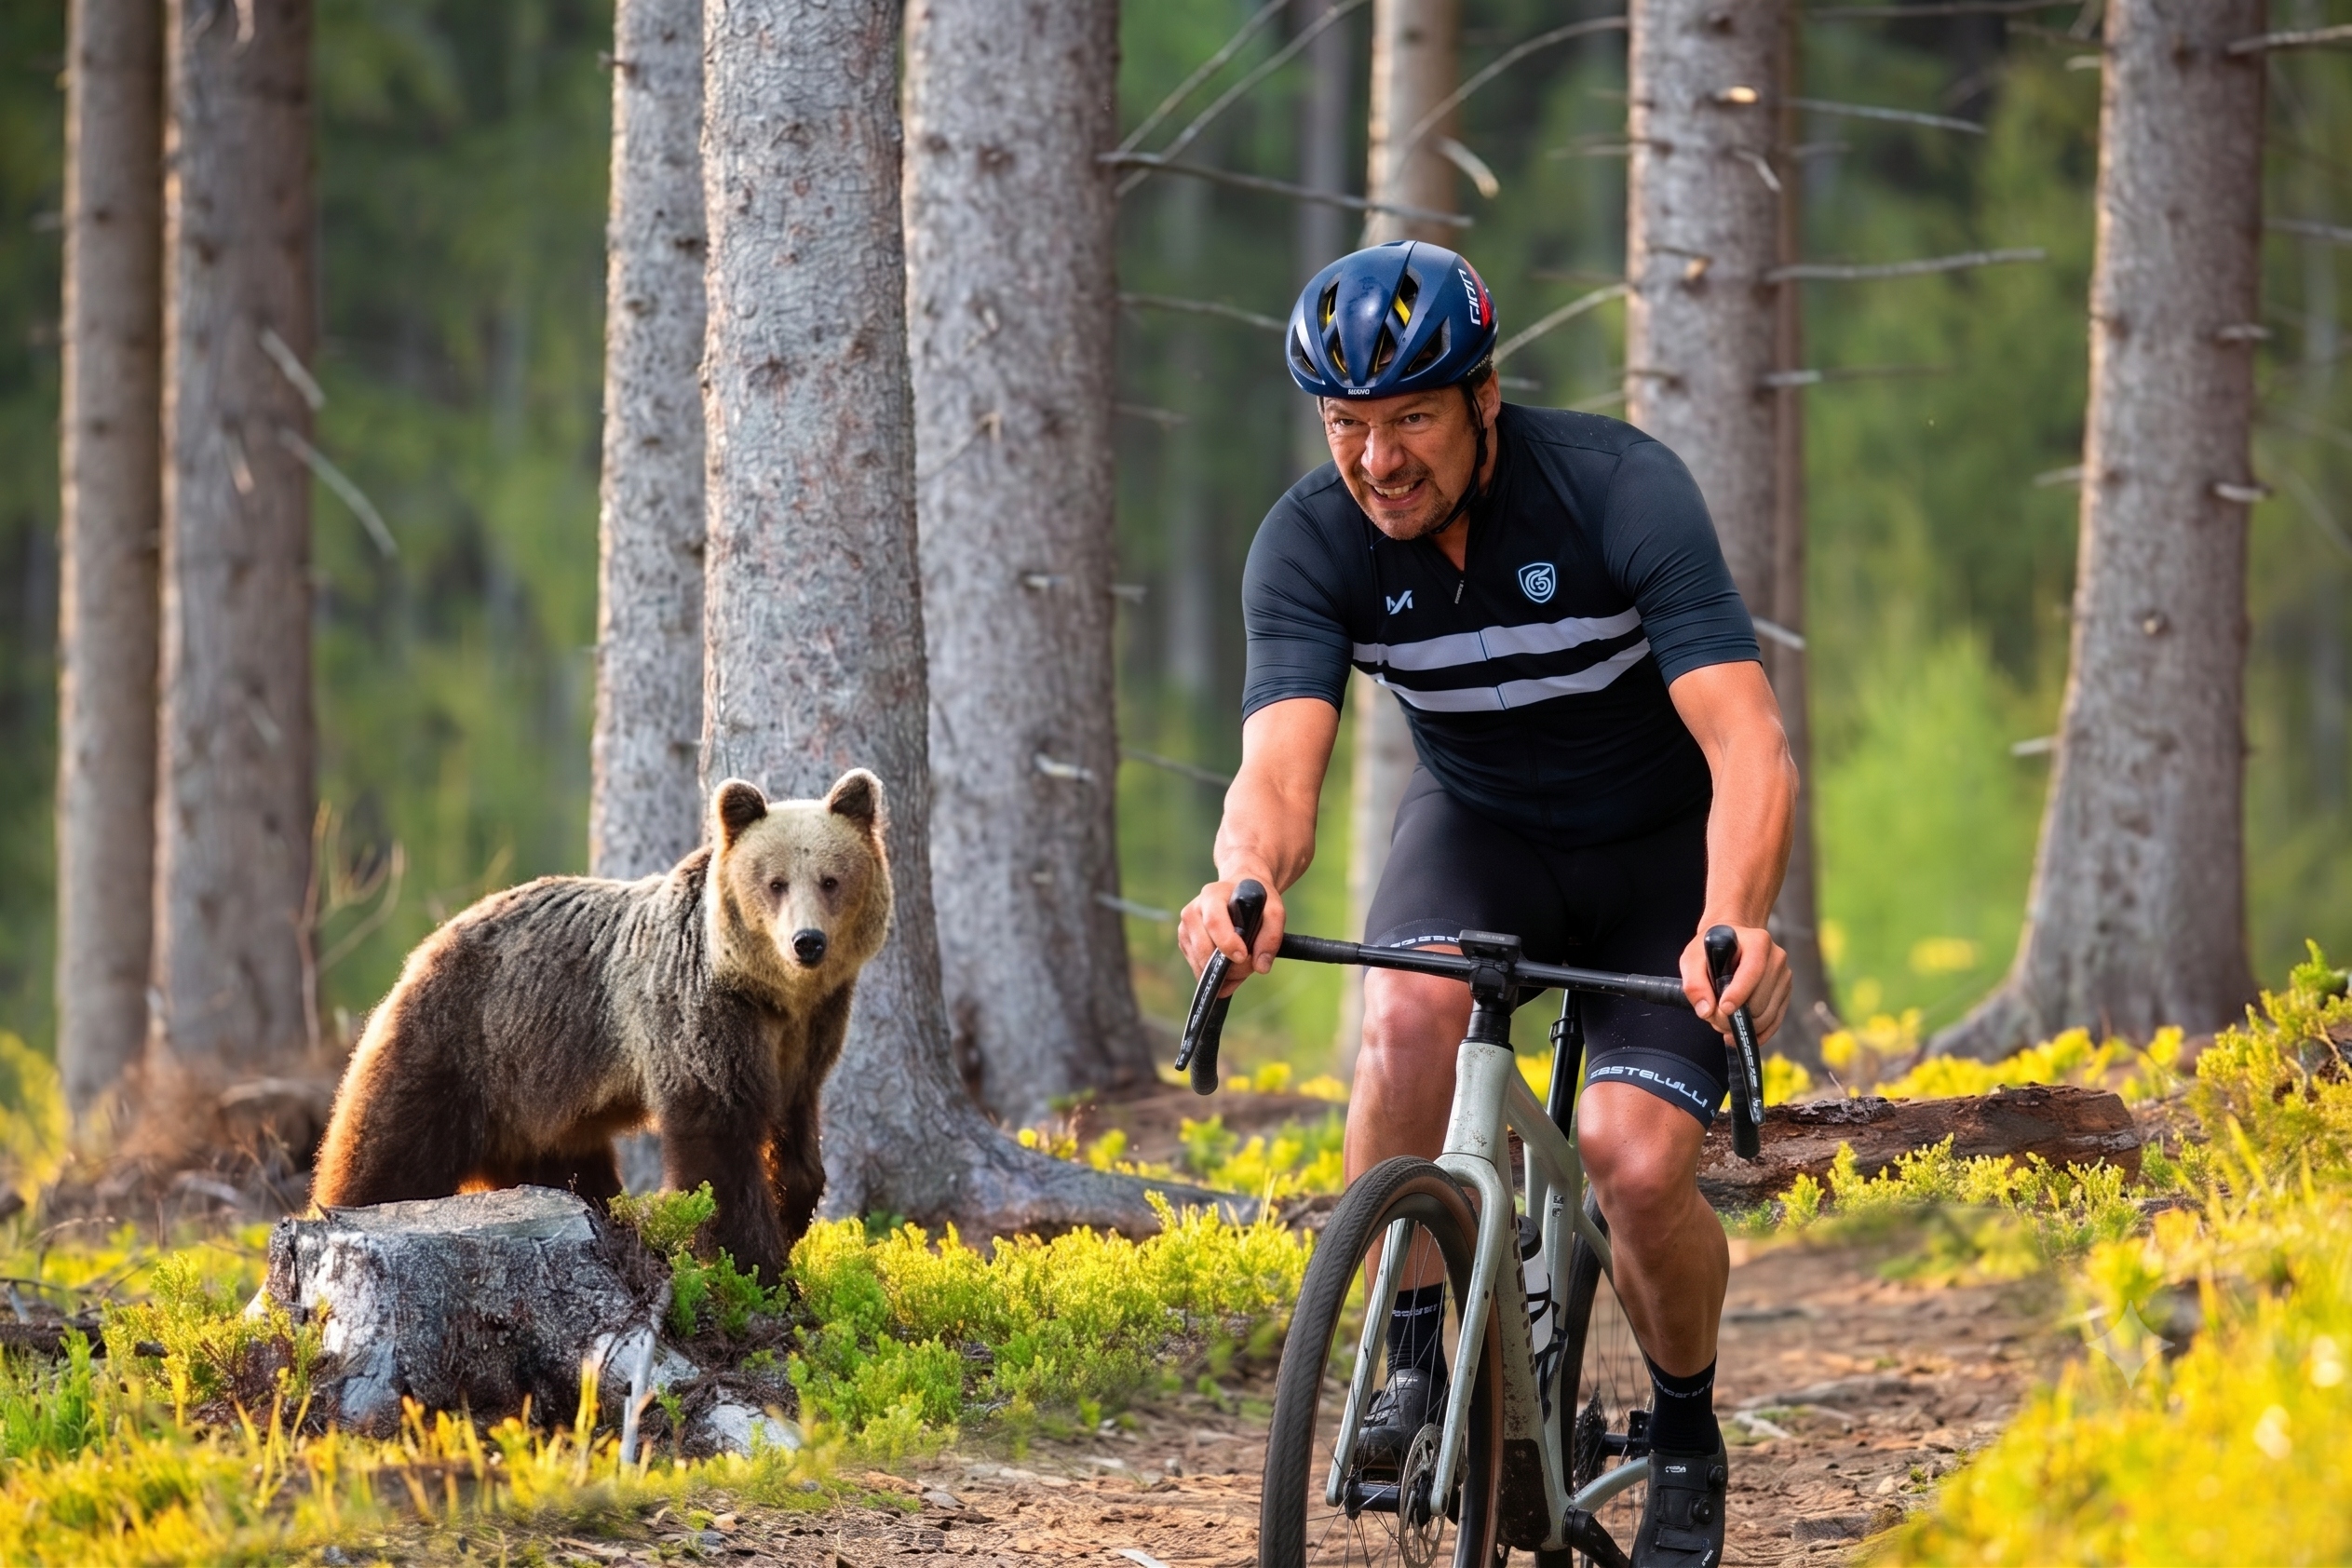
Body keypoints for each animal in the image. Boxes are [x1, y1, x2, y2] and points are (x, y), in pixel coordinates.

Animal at [311, 769, 892, 1282]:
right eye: (775, 883)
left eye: (831, 880)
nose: (807, 942)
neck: (771, 995)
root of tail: (433, 939)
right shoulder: (701, 1014)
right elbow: (718, 1142)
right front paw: (757, 1266)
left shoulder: (810, 1030)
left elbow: (797, 1129)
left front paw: (792, 1208)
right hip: (460, 1041)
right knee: (390, 1151)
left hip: (542, 1102)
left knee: (564, 1171)